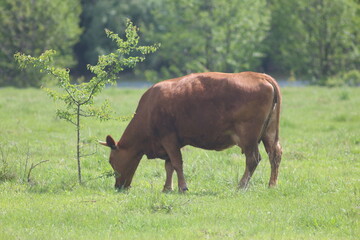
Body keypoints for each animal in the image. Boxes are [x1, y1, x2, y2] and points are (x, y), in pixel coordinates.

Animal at [100, 71, 282, 191]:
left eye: (111, 160)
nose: (118, 187)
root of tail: (260, 75)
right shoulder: (168, 144)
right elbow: (169, 166)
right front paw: (167, 188)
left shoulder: (168, 138)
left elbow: (176, 163)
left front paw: (182, 187)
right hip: (269, 132)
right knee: (275, 155)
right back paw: (271, 185)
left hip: (248, 136)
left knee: (253, 159)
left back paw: (241, 185)